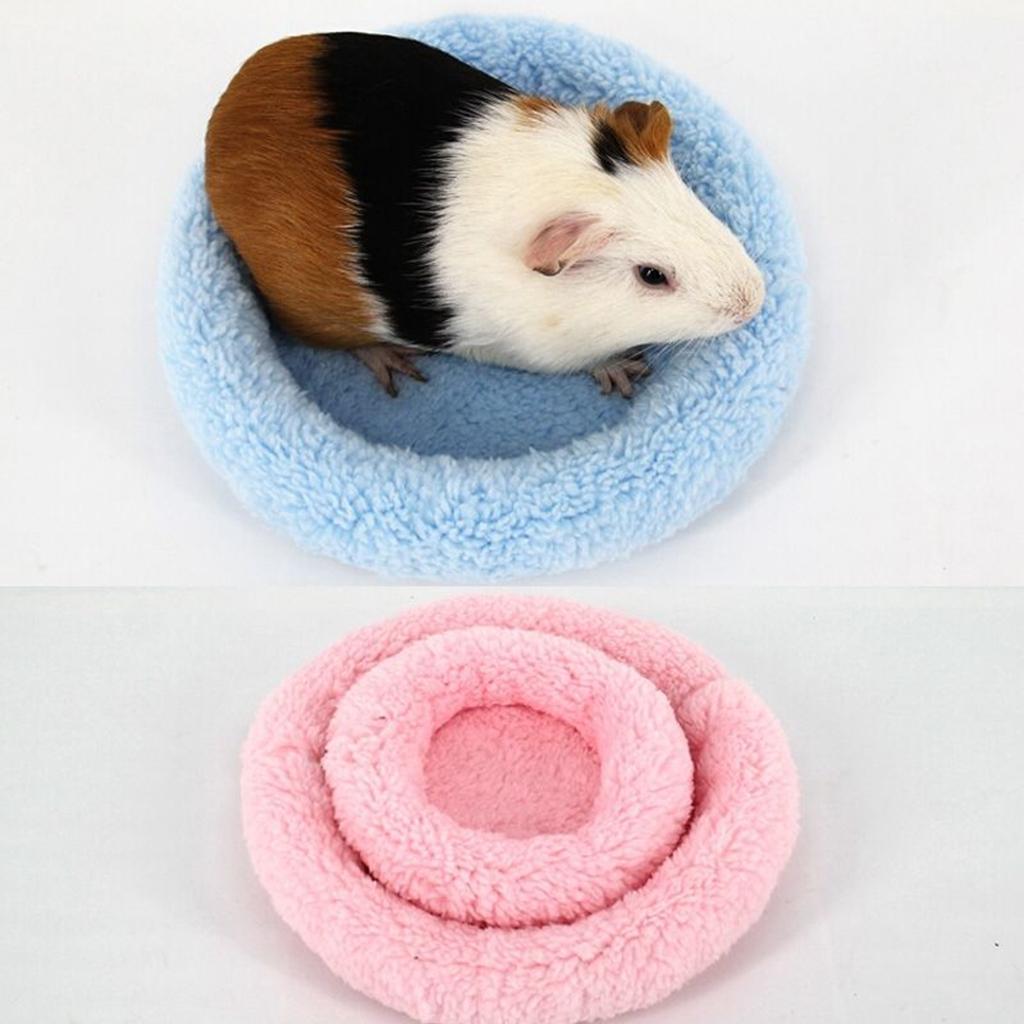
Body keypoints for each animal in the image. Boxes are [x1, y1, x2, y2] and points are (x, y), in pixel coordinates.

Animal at [205, 33, 765, 397]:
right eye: (652, 276)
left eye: (693, 203)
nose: (752, 302)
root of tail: (227, 112)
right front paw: (626, 374)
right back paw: (396, 367)